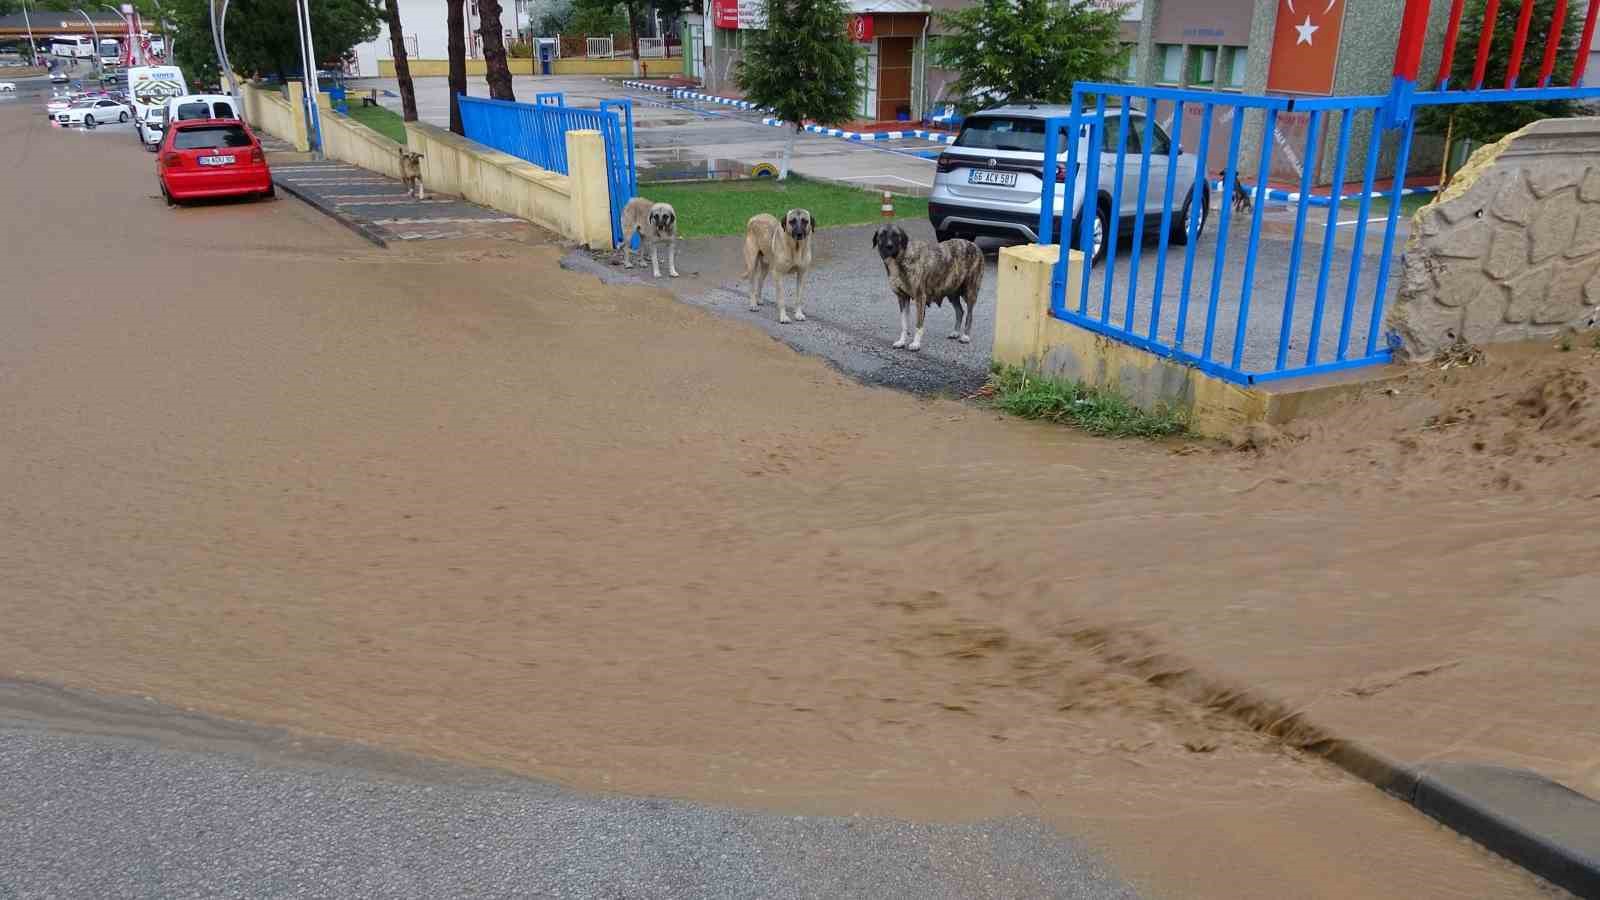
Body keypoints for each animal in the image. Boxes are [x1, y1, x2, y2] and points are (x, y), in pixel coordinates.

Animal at [870, 220, 979, 350]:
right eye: (882, 235)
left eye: (896, 235)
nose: (889, 246)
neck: (901, 258)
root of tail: (974, 245)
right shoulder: (902, 298)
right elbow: (904, 323)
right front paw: (902, 341)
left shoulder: (920, 298)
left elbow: (918, 324)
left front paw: (916, 343)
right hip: (951, 291)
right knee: (960, 311)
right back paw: (956, 332)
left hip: (970, 291)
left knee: (970, 314)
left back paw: (965, 336)